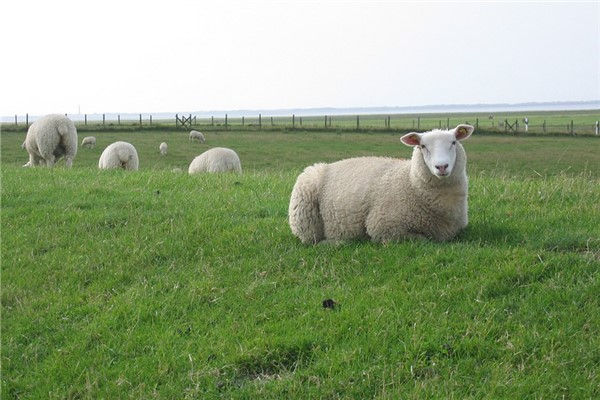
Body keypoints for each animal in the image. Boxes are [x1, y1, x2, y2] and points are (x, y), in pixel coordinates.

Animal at [288, 125, 476, 244]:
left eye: (453, 142)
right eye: (423, 146)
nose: (441, 166)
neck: (410, 183)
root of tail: (326, 165)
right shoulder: (384, 226)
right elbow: (422, 240)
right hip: (305, 218)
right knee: (311, 240)